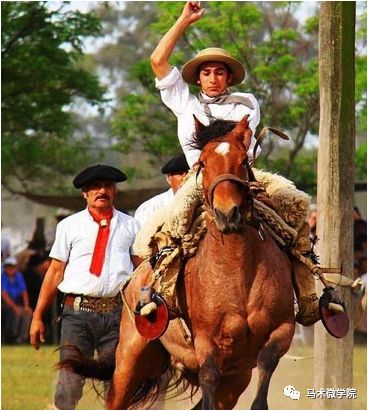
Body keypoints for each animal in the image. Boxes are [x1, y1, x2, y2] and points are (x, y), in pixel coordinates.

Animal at [63, 116, 294, 408]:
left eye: (244, 161)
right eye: (203, 163)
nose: (227, 213)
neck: (239, 275)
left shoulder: (282, 330)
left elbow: (265, 365)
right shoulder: (207, 342)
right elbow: (209, 376)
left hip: (233, 378)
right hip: (129, 360)